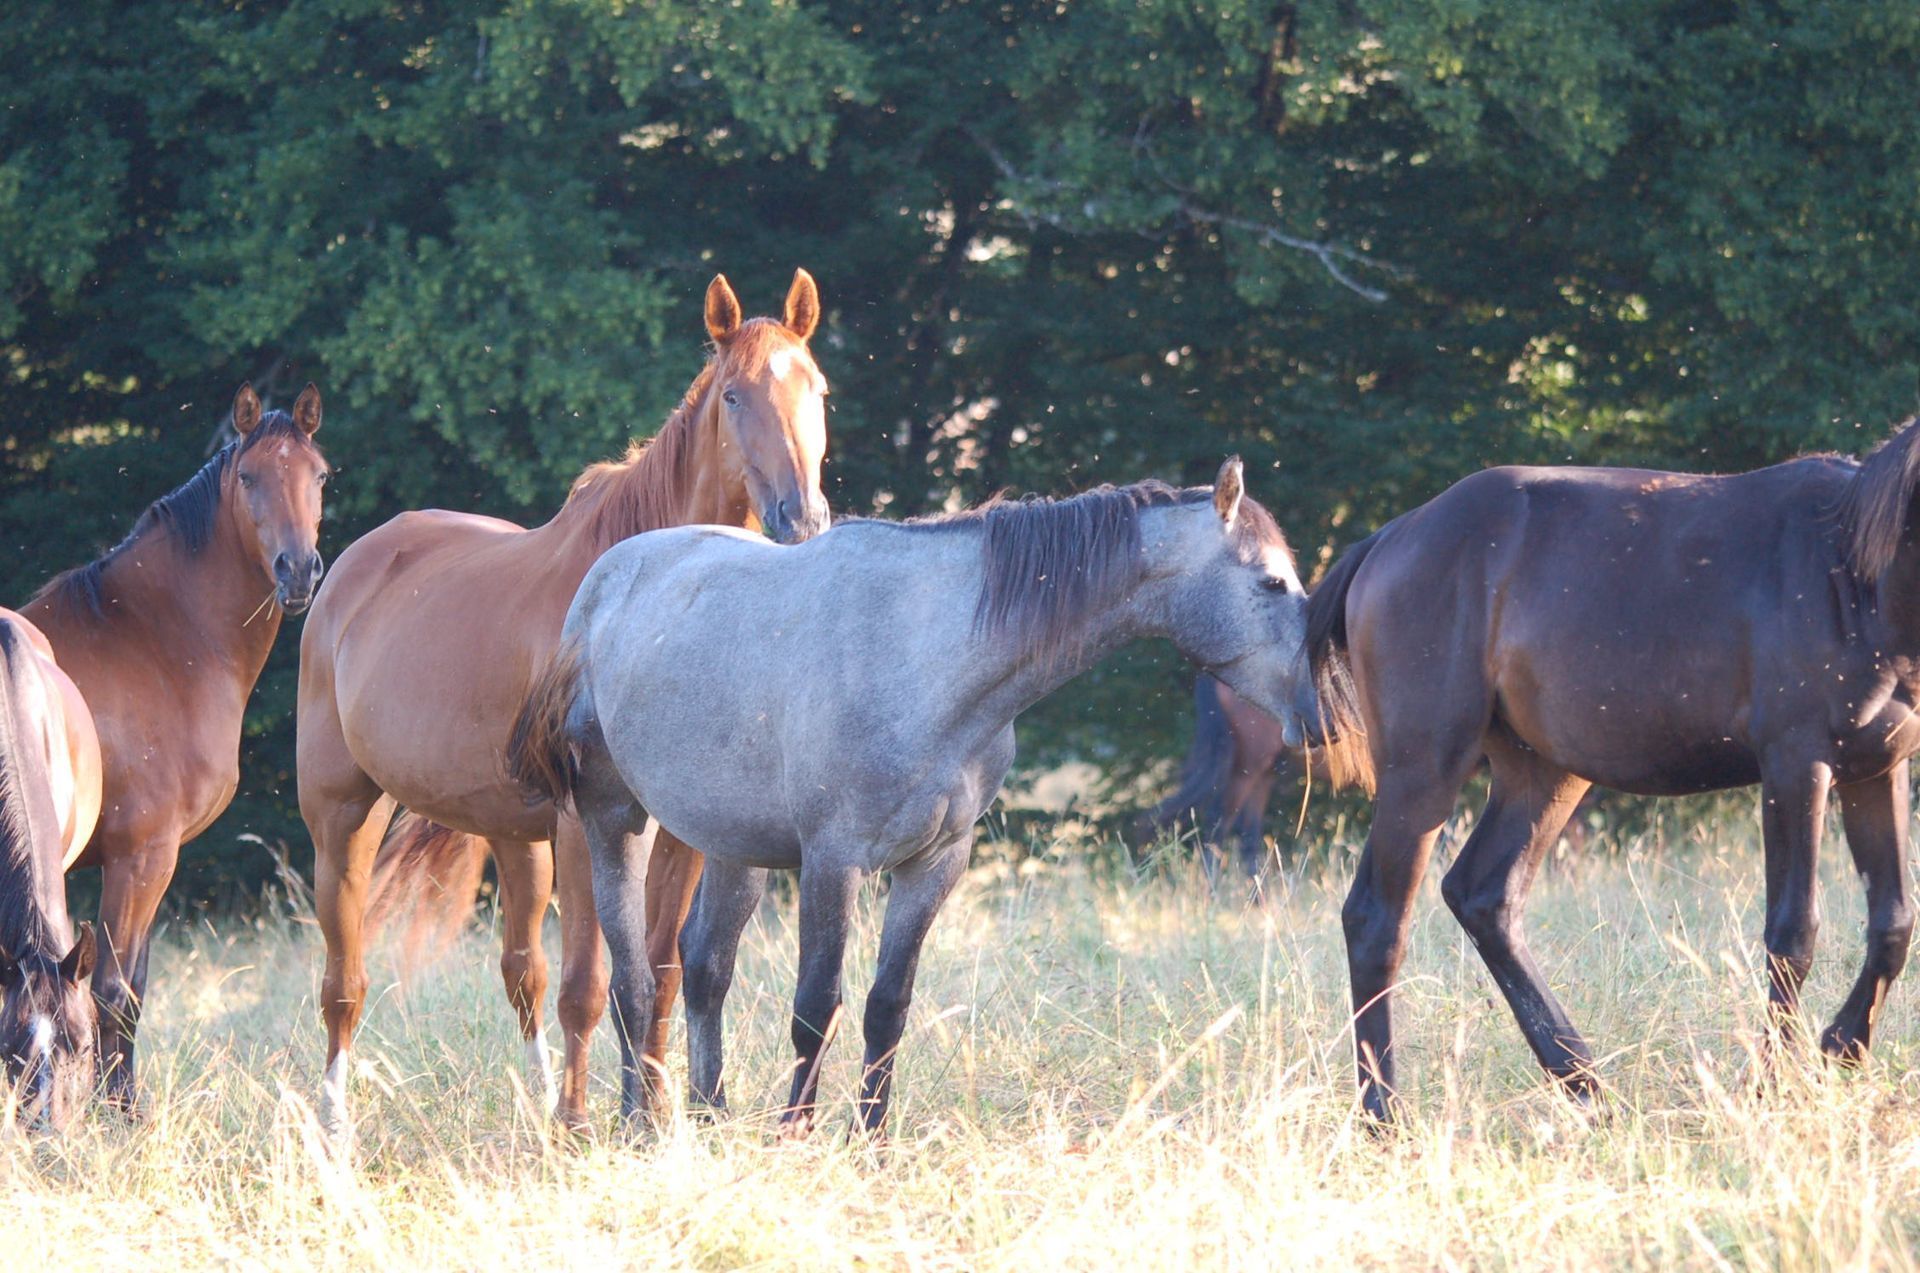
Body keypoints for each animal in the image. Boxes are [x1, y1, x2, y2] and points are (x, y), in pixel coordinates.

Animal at [20, 383, 327, 1110]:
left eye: (320, 475)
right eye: (248, 478)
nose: (298, 571)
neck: (157, 641)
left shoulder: (152, 860)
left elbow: (132, 990)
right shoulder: (141, 857)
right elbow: (113, 993)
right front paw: (116, 1115)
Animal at [298, 270, 832, 1141]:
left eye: (817, 388)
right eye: (733, 395)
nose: (803, 518)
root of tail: (349, 568)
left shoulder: (672, 835)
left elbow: (659, 971)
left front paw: (651, 1112)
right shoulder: (587, 822)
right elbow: (592, 980)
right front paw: (588, 1124)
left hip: (517, 838)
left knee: (523, 974)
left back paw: (540, 1100)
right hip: (344, 818)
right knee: (345, 984)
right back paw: (336, 1124)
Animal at [507, 459, 1321, 1135]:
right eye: (1271, 583)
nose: (1316, 714)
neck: (929, 657)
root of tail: (604, 582)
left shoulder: (935, 863)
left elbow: (885, 1007)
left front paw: (868, 1140)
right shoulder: (832, 862)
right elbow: (816, 1007)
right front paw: (796, 1135)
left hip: (733, 846)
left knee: (706, 969)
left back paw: (710, 1115)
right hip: (615, 823)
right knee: (633, 984)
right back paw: (638, 1122)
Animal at [1305, 417, 1920, 1124]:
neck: (1854, 575)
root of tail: (1388, 540)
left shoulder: (1877, 769)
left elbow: (1893, 923)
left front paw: (1839, 1051)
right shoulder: (1797, 766)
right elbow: (1793, 934)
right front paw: (1771, 1086)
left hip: (1544, 775)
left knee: (1485, 897)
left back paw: (1589, 1089)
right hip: (1423, 769)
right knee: (1377, 919)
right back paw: (1385, 1117)